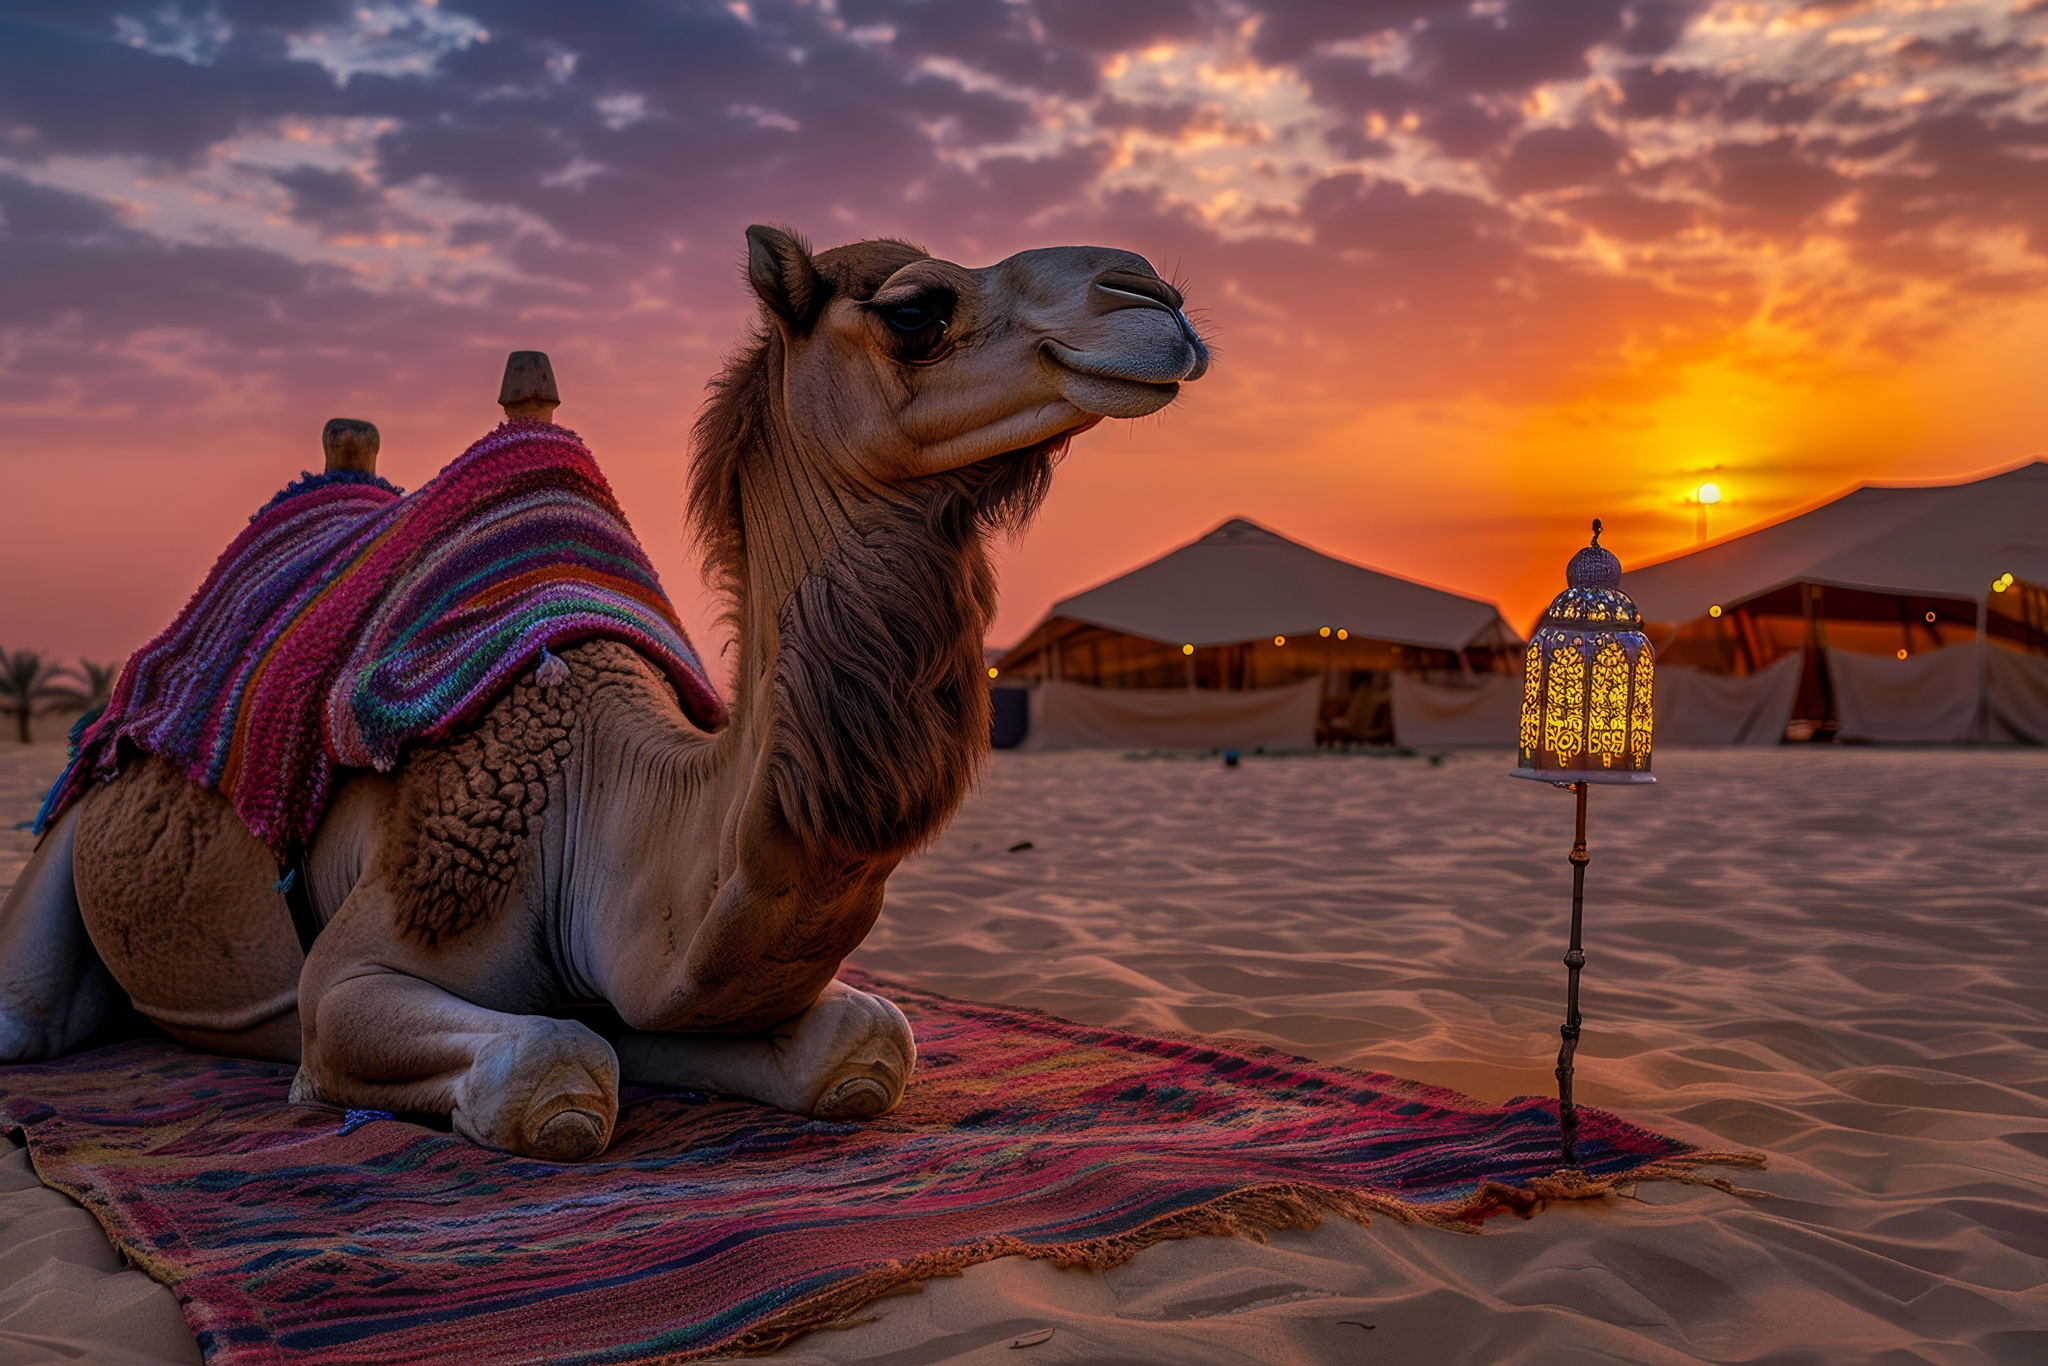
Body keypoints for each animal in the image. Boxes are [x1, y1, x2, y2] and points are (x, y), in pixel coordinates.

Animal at [0, 226, 1209, 1161]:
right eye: (915, 309)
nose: (1153, 292)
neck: (608, 796)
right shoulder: (352, 971)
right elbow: (553, 1066)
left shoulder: (655, 974)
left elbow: (859, 1047)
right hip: (65, 848)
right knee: (25, 1018)